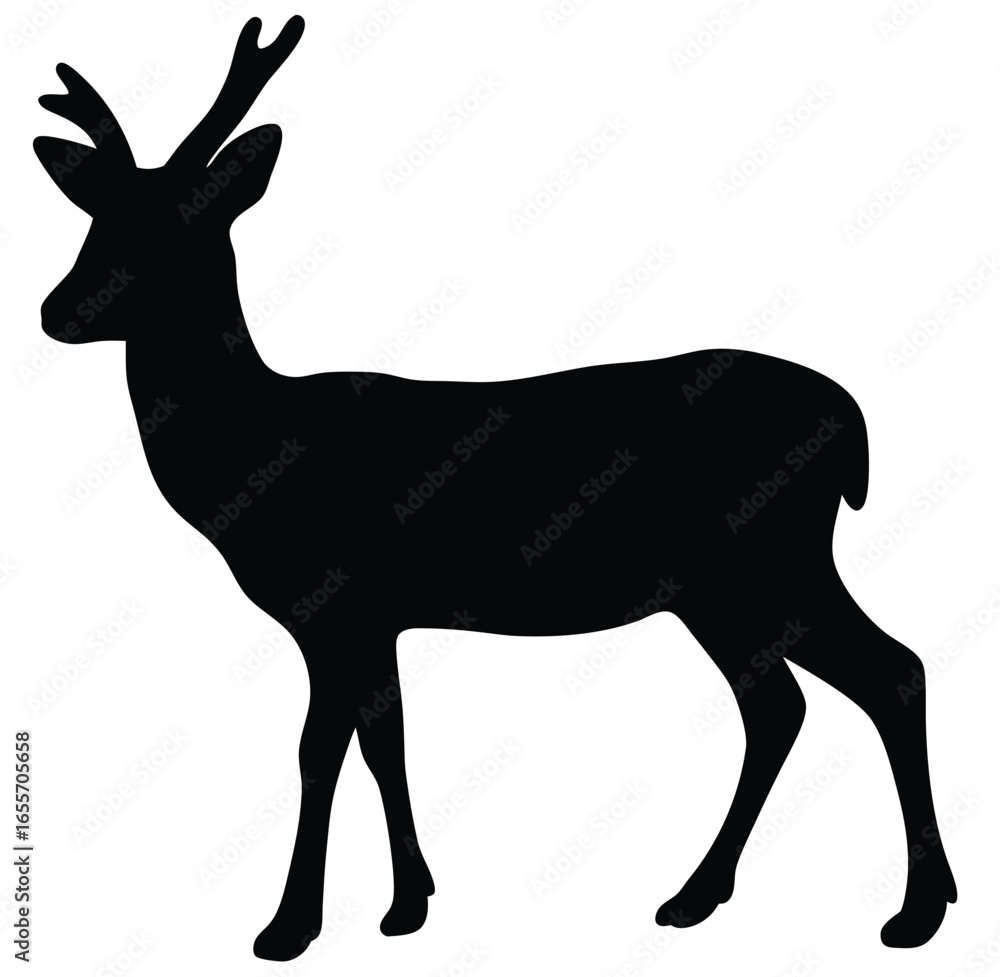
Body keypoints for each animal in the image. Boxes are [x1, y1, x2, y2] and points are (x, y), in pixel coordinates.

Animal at [33, 14, 957, 961]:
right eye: (95, 219)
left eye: (177, 224)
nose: (58, 310)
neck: (256, 456)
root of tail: (854, 425)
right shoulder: (374, 618)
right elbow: (386, 740)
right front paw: (407, 903)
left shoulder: (337, 604)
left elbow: (322, 749)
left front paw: (290, 926)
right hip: (725, 587)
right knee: (786, 701)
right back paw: (703, 896)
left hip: (771, 560)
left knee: (889, 670)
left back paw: (912, 911)